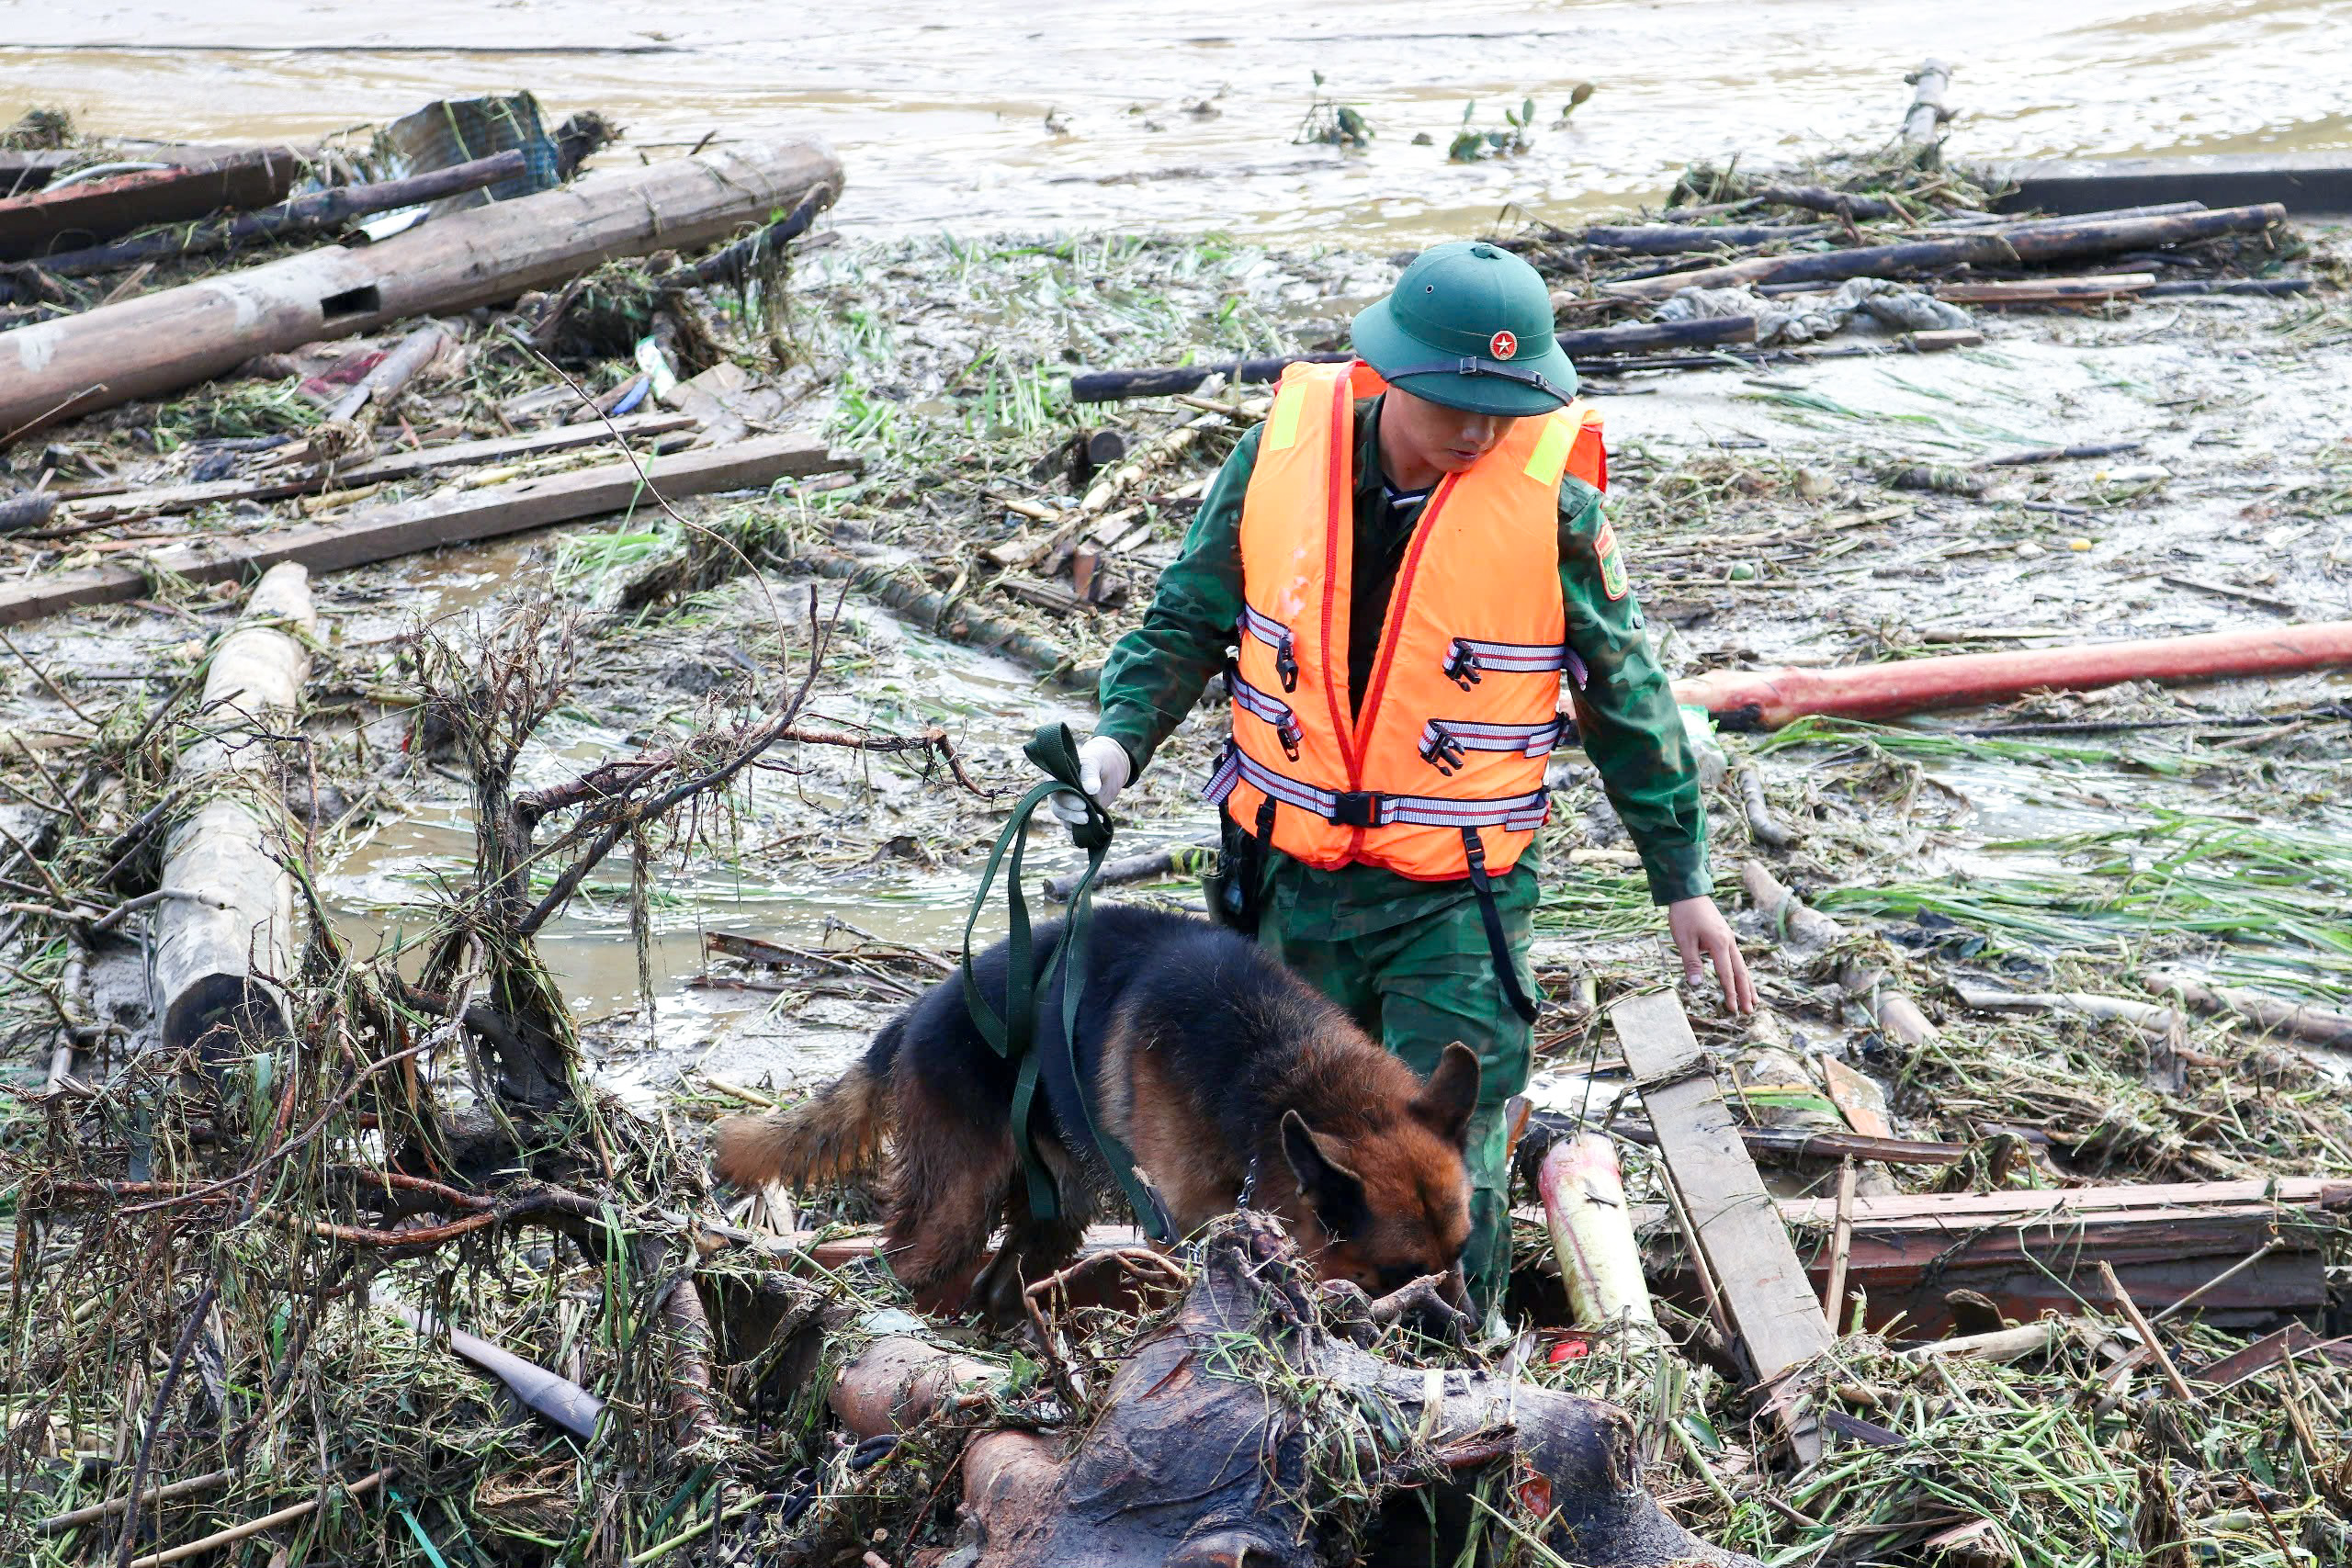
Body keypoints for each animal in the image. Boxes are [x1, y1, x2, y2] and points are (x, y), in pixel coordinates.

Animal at [715, 902, 1476, 1316]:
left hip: (1056, 1209)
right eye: (1402, 1274)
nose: (1469, 1335)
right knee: (908, 1263)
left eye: (1463, 1253)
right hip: (956, 1207)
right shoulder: (1181, 1227)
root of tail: (918, 1010)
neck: (1279, 1072)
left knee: (1002, 1281)